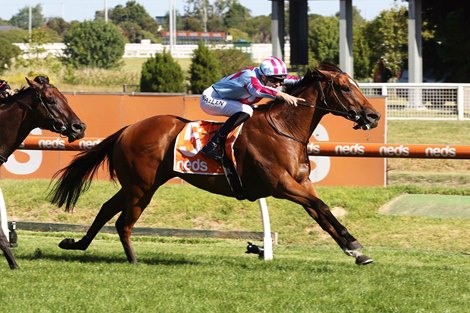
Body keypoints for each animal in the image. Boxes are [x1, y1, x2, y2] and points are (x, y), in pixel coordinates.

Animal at [51, 62, 380, 264]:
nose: (373, 116)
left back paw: (77, 244)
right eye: (345, 87)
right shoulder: (281, 185)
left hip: (138, 185)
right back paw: (133, 260)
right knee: (123, 222)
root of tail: (127, 129)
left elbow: (322, 214)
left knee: (107, 209)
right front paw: (354, 245)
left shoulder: (301, 184)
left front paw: (354, 250)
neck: (284, 130)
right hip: (141, 187)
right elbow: (322, 207)